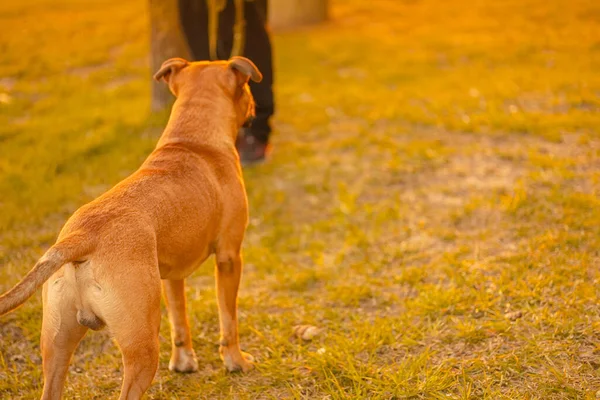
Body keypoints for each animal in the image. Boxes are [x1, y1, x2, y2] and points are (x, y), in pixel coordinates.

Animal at [0, 56, 262, 400]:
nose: (256, 107)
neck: (192, 139)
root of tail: (82, 236)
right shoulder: (230, 257)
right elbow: (228, 319)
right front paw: (235, 361)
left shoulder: (171, 276)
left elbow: (180, 320)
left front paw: (183, 362)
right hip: (141, 350)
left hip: (58, 347)